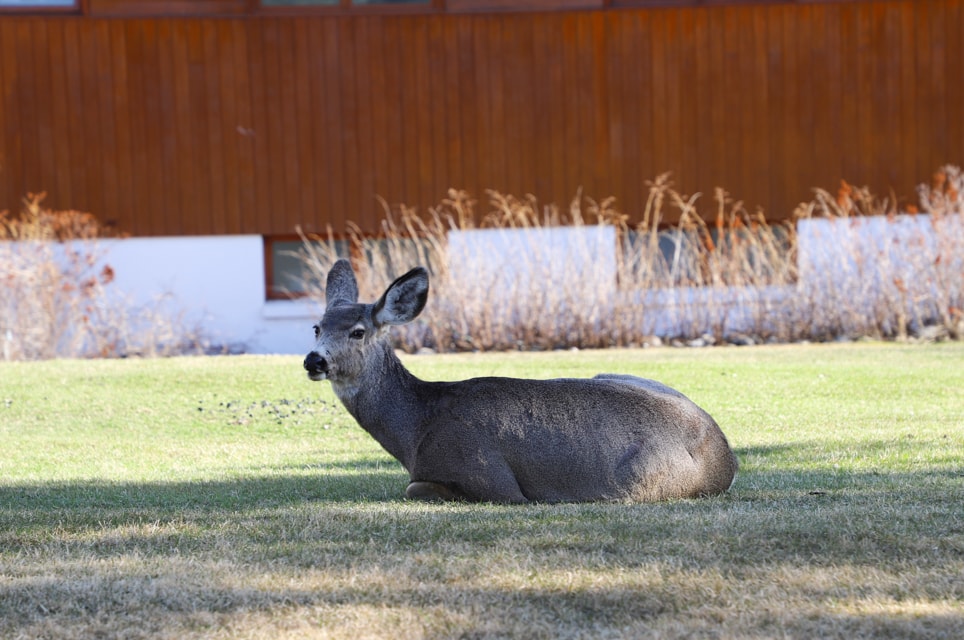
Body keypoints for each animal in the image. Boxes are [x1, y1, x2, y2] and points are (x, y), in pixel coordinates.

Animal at [302, 260, 740, 504]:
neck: (416, 429)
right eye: (316, 326)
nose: (314, 359)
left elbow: (413, 489)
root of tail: (725, 455)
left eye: (358, 331)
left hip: (645, 480)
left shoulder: (491, 478)